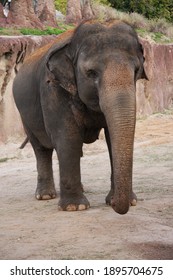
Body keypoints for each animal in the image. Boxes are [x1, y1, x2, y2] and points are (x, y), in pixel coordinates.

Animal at [12, 19, 147, 214]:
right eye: (91, 73)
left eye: (136, 70)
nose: (115, 204)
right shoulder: (53, 88)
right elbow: (68, 137)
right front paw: (75, 207)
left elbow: (111, 138)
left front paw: (127, 201)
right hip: (25, 116)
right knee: (41, 149)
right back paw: (45, 196)